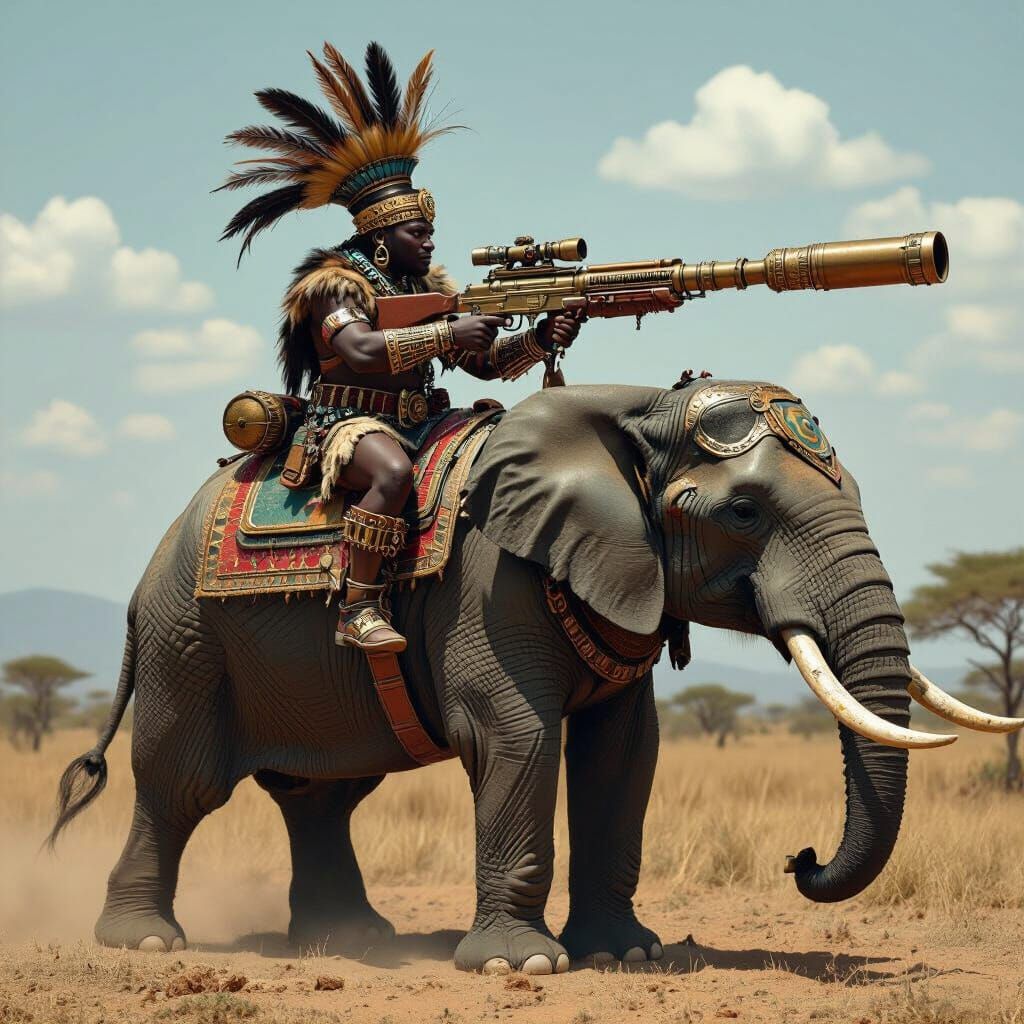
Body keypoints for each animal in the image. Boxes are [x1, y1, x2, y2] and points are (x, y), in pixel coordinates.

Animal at [50, 378, 1020, 974]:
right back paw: (145, 945)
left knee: (324, 792)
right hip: (187, 637)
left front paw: (625, 955)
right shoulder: (489, 579)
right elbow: (515, 734)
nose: (801, 858)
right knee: (180, 782)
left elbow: (623, 755)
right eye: (745, 512)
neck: (632, 413)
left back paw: (351, 937)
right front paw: (523, 965)